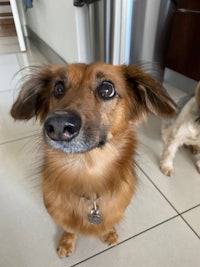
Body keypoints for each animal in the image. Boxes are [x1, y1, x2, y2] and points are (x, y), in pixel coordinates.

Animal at [10, 62, 177, 258]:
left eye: (106, 89)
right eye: (58, 88)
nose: (58, 125)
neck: (86, 172)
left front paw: (108, 233)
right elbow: (69, 228)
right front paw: (67, 241)